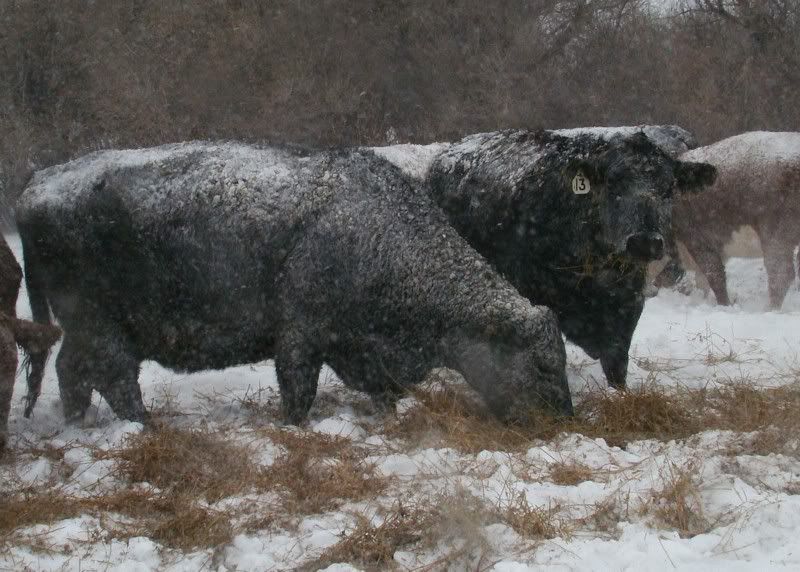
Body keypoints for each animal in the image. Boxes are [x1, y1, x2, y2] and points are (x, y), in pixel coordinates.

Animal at [16, 143, 572, 427]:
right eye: (544, 364)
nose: (565, 419)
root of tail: (35, 185)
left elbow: (383, 391)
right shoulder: (301, 336)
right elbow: (298, 391)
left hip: (85, 331)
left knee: (71, 373)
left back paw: (77, 423)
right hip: (103, 328)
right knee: (113, 379)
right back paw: (142, 426)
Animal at [654, 131, 800, 308]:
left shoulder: (698, 240)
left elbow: (714, 277)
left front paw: (724, 305)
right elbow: (702, 281)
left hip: (775, 233)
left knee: (781, 273)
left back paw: (770, 309)